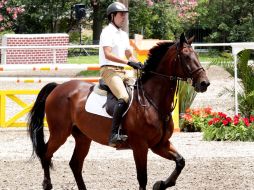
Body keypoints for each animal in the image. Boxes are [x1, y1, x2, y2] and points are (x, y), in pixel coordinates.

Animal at [27, 33, 210, 189]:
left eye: (197, 55)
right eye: (186, 56)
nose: (204, 83)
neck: (151, 100)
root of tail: (58, 87)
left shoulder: (160, 144)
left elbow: (180, 161)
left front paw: (161, 184)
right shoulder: (140, 146)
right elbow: (142, 178)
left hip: (83, 137)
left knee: (75, 164)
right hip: (60, 133)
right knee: (46, 154)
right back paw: (47, 185)